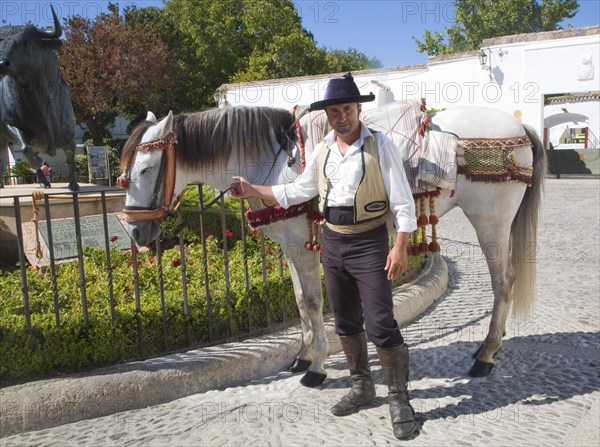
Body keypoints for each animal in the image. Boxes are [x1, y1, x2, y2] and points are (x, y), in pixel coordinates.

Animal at [119, 102, 548, 384]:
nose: (136, 233)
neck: (275, 163)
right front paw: (303, 355)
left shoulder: (300, 247)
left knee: (503, 282)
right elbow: (299, 302)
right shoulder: (290, 248)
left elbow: (312, 302)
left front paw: (317, 366)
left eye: (145, 169)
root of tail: (518, 130)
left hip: (491, 221)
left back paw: (486, 355)